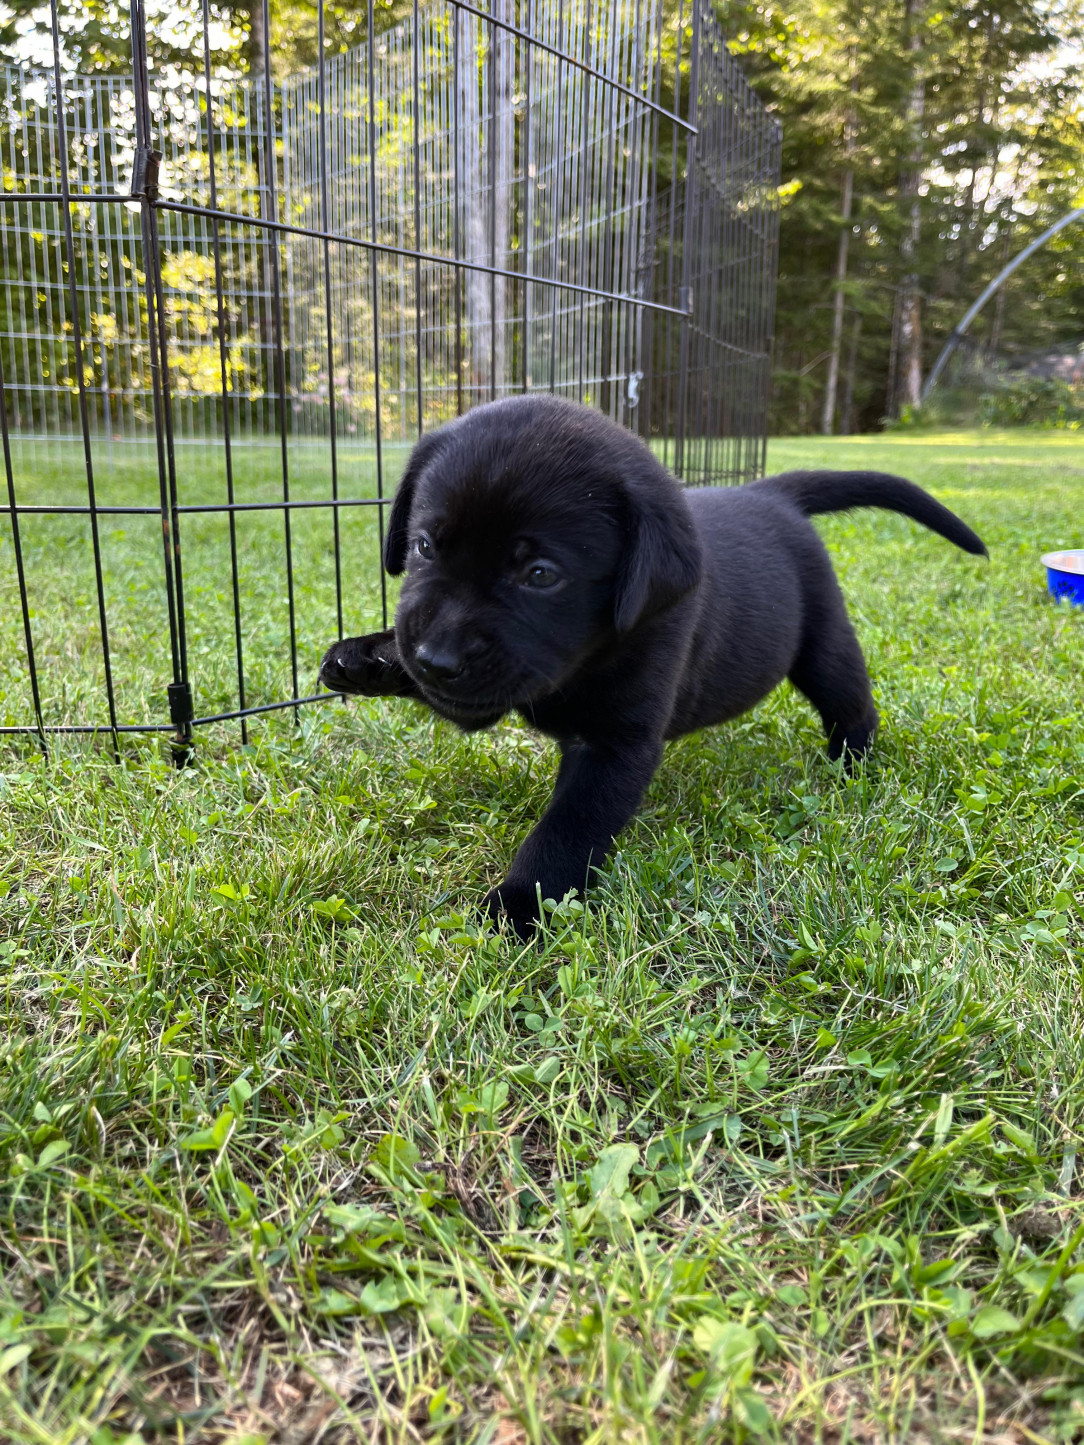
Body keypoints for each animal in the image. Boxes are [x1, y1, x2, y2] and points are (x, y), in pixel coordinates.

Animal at [317, 395, 988, 936]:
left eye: (540, 575)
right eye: (424, 546)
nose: (437, 660)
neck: (590, 656)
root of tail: (768, 491)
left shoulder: (615, 746)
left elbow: (566, 831)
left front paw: (518, 906)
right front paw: (366, 657)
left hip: (823, 644)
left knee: (851, 701)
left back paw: (853, 768)